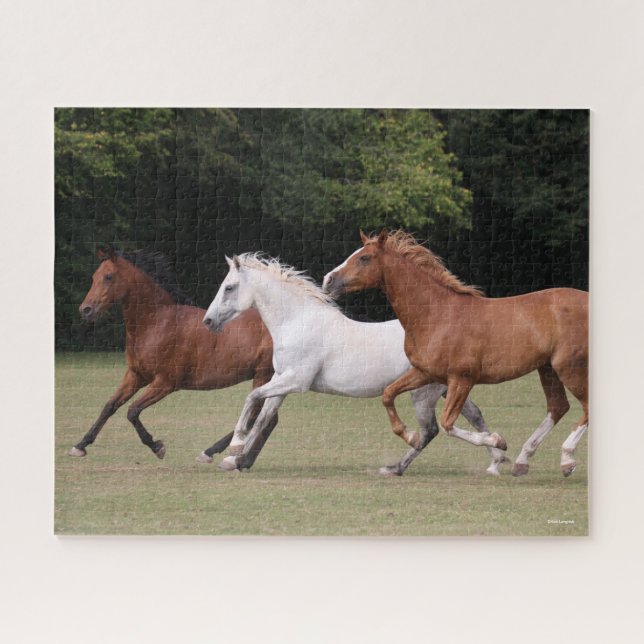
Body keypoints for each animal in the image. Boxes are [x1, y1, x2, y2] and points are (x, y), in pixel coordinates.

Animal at [70, 247, 277, 465]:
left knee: (258, 416)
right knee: (268, 418)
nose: (86, 310)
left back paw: (217, 455)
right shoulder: (136, 375)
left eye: (108, 276)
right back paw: (240, 461)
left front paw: (157, 447)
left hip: (263, 374)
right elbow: (110, 406)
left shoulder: (166, 383)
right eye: (94, 276)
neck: (157, 322)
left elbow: (132, 411)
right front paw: (80, 446)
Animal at [202, 253, 507, 475]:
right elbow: (263, 417)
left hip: (424, 392)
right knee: (471, 416)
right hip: (445, 388)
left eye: (229, 287)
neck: (298, 322)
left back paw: (397, 467)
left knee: (431, 429)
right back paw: (496, 457)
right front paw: (235, 460)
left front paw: (235, 449)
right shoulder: (282, 382)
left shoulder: (295, 381)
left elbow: (252, 399)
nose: (208, 321)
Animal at [323, 230, 588, 477]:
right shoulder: (425, 373)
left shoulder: (462, 379)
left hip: (568, 367)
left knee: (584, 407)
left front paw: (498, 441)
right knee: (558, 407)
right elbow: (388, 394)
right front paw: (410, 435)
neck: (436, 314)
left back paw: (567, 460)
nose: (329, 280)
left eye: (364, 258)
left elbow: (447, 423)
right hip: (548, 368)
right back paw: (523, 461)